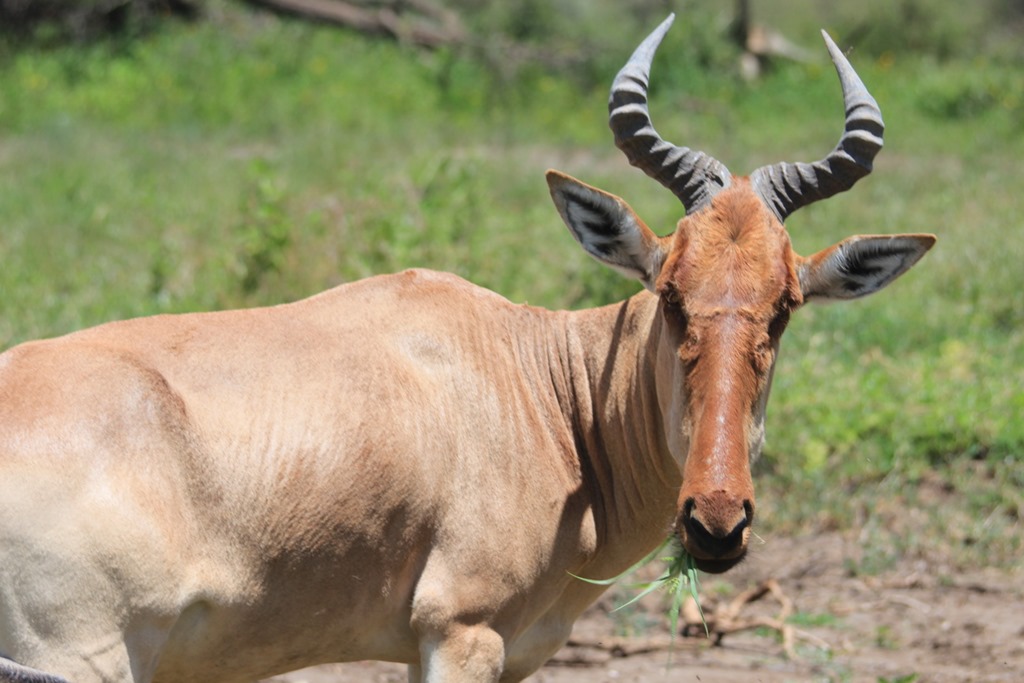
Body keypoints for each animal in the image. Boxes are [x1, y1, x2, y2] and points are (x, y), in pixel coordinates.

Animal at [0, 14, 933, 683]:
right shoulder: (460, 632)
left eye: (785, 304)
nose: (716, 523)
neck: (537, 383)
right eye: (669, 290)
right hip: (79, 656)